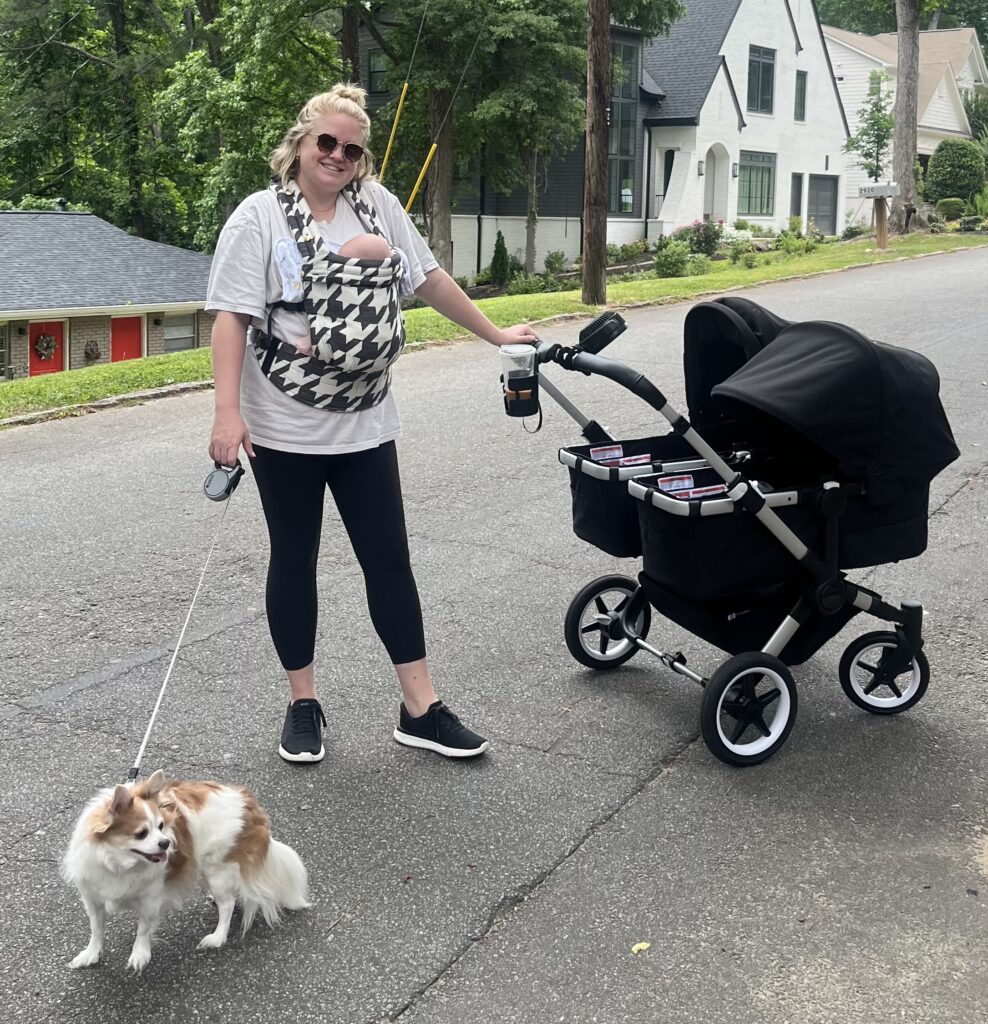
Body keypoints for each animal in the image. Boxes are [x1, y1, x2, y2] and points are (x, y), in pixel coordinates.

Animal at [60, 770, 307, 970]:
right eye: (141, 833)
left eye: (161, 826)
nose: (166, 843)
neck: (118, 862)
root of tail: (246, 801)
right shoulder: (93, 898)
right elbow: (96, 928)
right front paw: (91, 954)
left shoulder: (151, 900)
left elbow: (143, 929)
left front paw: (140, 954)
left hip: (216, 869)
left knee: (227, 905)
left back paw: (217, 937)